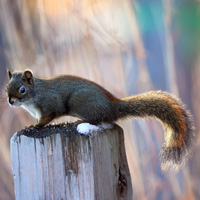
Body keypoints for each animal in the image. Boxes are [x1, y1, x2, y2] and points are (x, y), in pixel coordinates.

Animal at [6, 69, 195, 170]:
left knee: (97, 119)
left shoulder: (50, 104)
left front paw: (33, 126)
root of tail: (112, 106)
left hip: (81, 103)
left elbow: (47, 118)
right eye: (7, 88)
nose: (10, 101)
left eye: (22, 89)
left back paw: (77, 122)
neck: (34, 95)